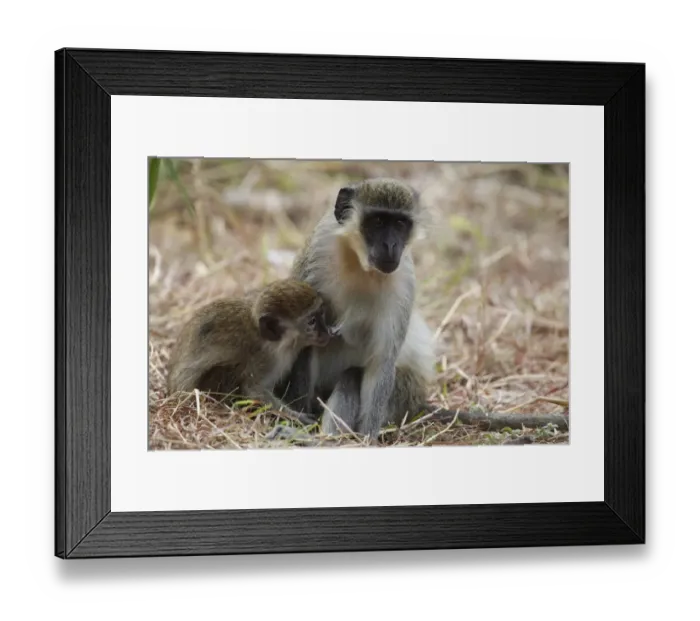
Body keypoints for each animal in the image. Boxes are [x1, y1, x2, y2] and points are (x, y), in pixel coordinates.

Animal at [166, 278, 338, 426]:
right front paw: (296, 417)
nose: (326, 332)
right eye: (312, 322)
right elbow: (253, 390)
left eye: (321, 314)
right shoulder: (265, 360)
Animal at [280, 177, 437, 441]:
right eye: (378, 222)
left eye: (400, 224)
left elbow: (381, 361)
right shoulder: (318, 252)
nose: (391, 245)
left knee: (352, 375)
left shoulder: (403, 282)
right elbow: (303, 339)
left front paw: (366, 439)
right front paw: (299, 417)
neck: (360, 264)